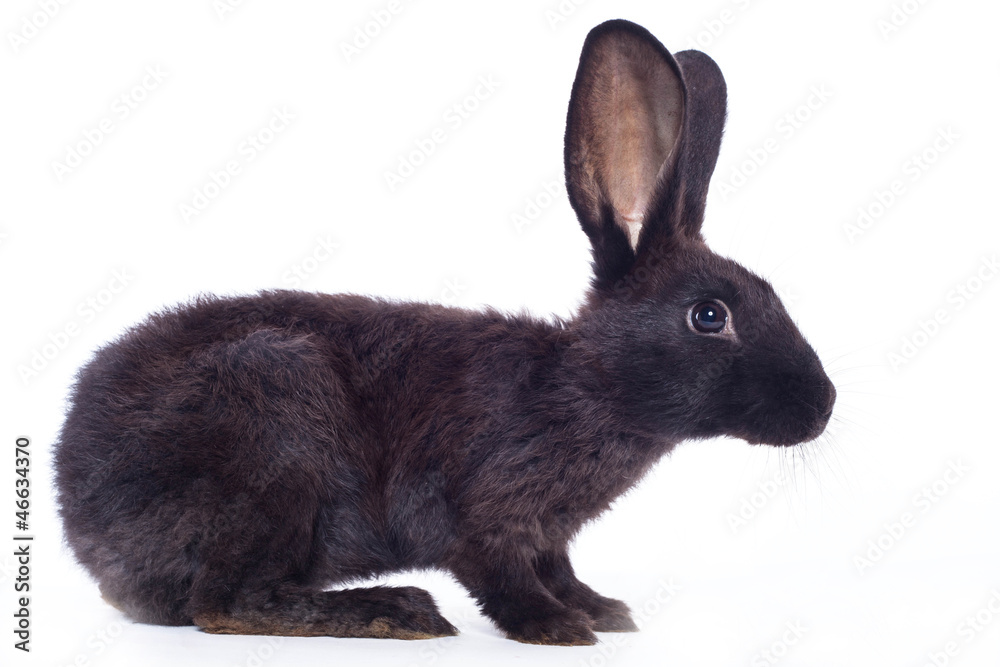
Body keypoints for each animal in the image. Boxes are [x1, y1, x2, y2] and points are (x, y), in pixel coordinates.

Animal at [55, 19, 836, 646]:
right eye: (710, 315)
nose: (824, 406)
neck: (587, 384)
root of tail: (78, 521)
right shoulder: (481, 507)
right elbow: (497, 570)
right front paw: (555, 628)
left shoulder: (549, 534)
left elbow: (558, 565)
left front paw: (602, 610)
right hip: (272, 430)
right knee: (225, 603)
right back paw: (398, 612)